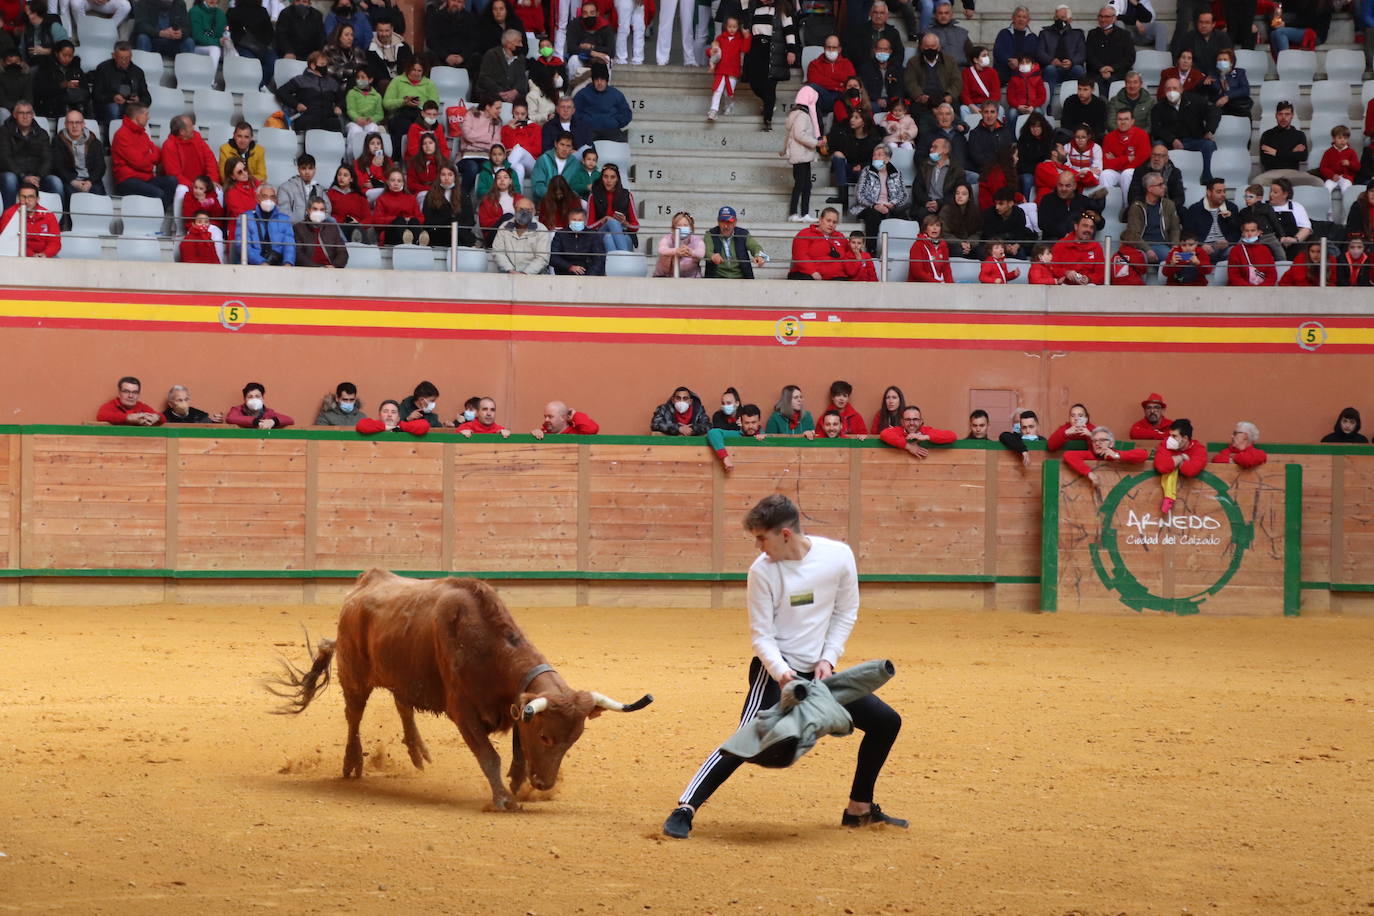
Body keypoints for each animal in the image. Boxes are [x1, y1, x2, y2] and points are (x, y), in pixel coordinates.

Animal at [273, 568, 654, 813]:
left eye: (573, 740)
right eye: (546, 737)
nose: (545, 785)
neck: (490, 649)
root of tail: (365, 582)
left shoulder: (517, 708)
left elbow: (517, 754)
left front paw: (517, 787)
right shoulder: (464, 711)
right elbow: (489, 756)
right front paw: (503, 799)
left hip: (403, 673)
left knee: (402, 703)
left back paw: (417, 751)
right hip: (354, 674)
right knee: (354, 714)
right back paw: (352, 764)